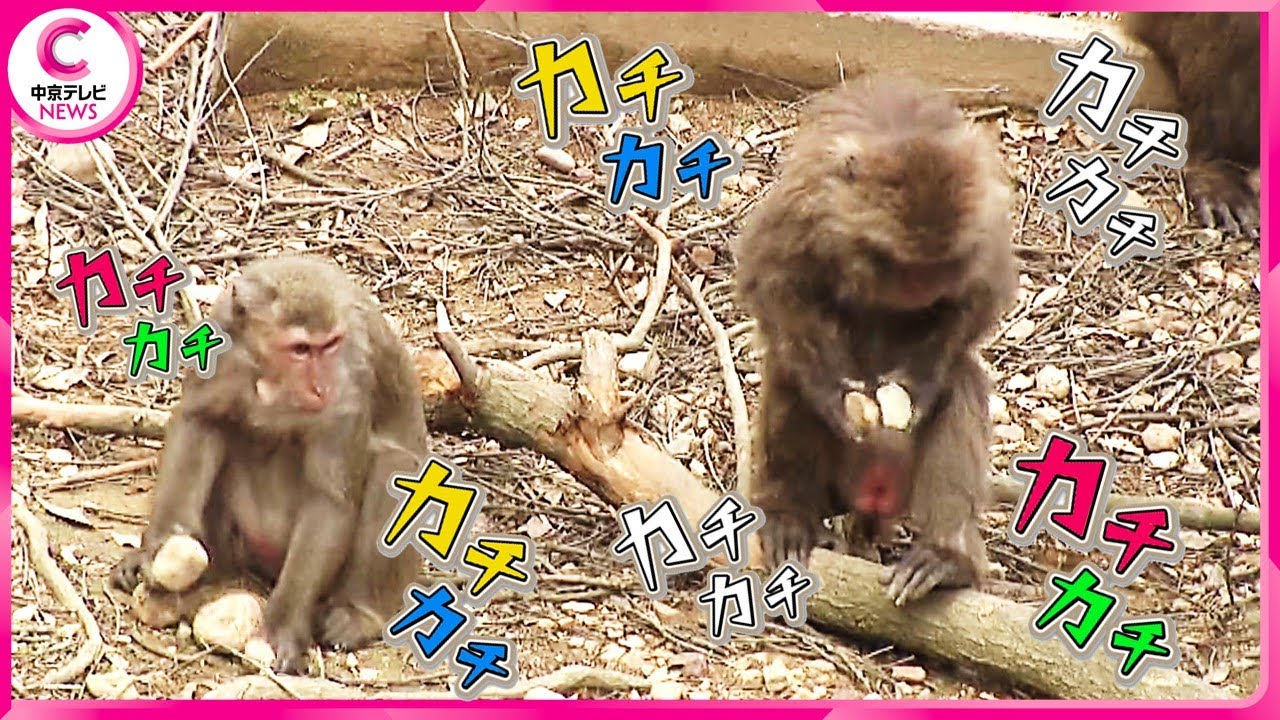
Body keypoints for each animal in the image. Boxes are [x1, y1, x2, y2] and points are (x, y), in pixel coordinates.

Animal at [111, 255, 427, 674]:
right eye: (300, 349)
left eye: (329, 345)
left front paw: (282, 626)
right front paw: (160, 546)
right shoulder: (222, 347)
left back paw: (359, 614)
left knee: (392, 466)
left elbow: (329, 499)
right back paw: (213, 565)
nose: (321, 388)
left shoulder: (349, 383)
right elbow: (201, 422)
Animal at [734, 76, 1016, 605]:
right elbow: (775, 282)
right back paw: (789, 516)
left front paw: (918, 389)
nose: (921, 287)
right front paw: (835, 398)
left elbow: (977, 301)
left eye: (936, 267)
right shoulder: (804, 205)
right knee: (788, 376)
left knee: (962, 381)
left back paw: (946, 558)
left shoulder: (985, 226)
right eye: (900, 263)